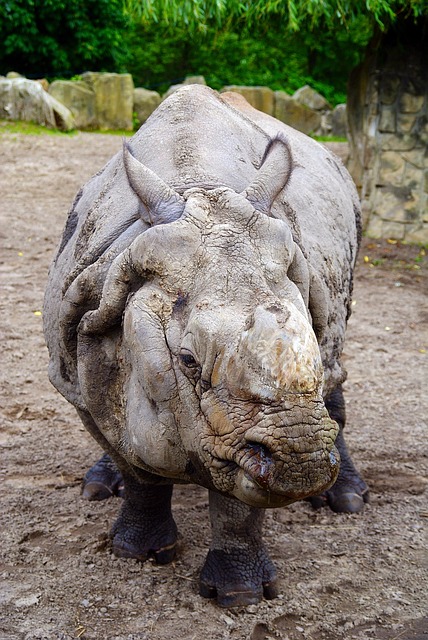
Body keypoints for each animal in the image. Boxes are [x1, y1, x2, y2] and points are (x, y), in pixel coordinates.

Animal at [43, 85, 368, 607]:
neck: (198, 186)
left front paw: (239, 595)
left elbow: (240, 497)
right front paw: (136, 552)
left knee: (339, 358)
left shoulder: (236, 432)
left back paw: (349, 500)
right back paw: (99, 488)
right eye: (187, 359)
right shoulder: (78, 366)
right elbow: (135, 464)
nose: (301, 462)